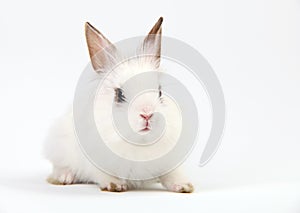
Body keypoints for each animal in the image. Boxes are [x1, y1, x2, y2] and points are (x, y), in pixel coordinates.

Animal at [44, 17, 195, 192]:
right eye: (119, 95)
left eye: (159, 92)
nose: (147, 114)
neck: (139, 142)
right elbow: (102, 174)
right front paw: (114, 185)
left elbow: (171, 174)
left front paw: (184, 185)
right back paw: (64, 177)